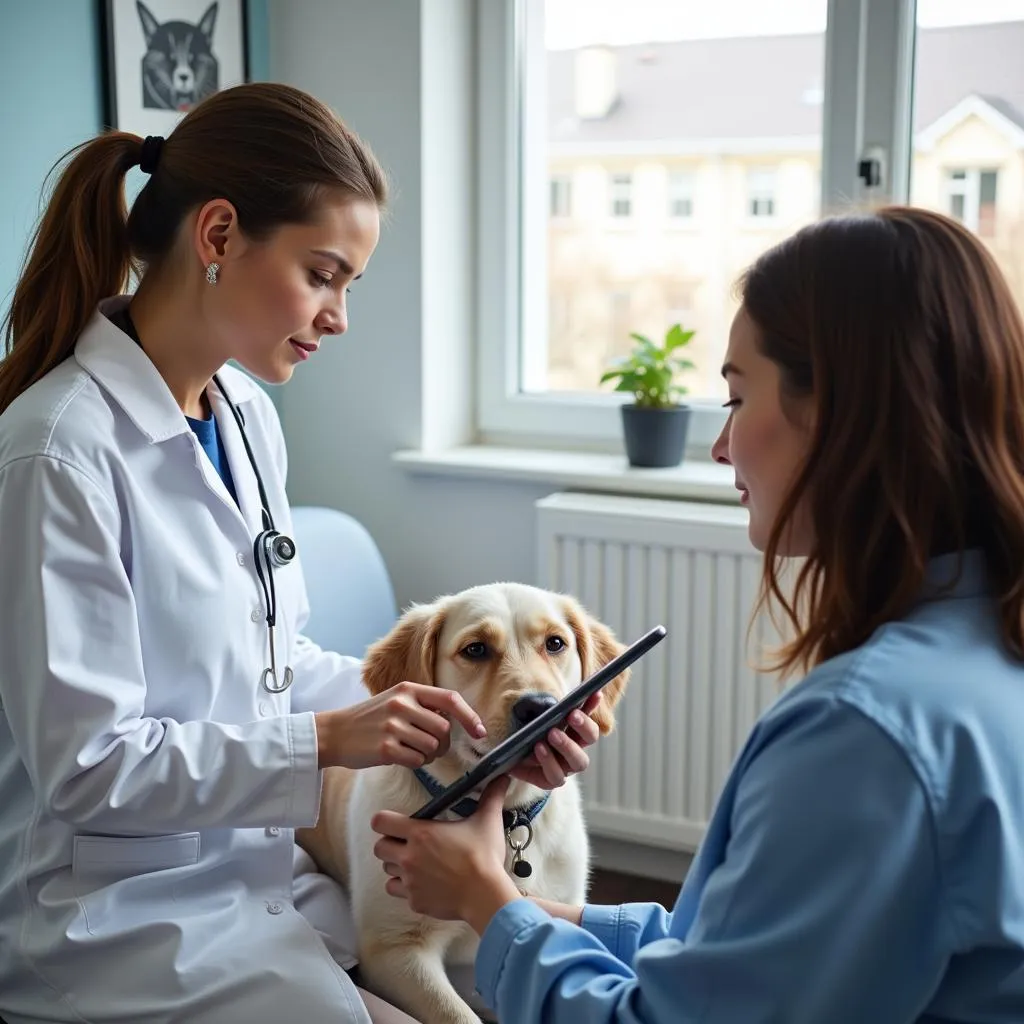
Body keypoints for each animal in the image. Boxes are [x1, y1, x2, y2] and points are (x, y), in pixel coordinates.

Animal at [299, 585, 626, 1024]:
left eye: (555, 643)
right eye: (476, 649)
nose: (539, 707)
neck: (505, 814)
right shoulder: (393, 948)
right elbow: (460, 1016)